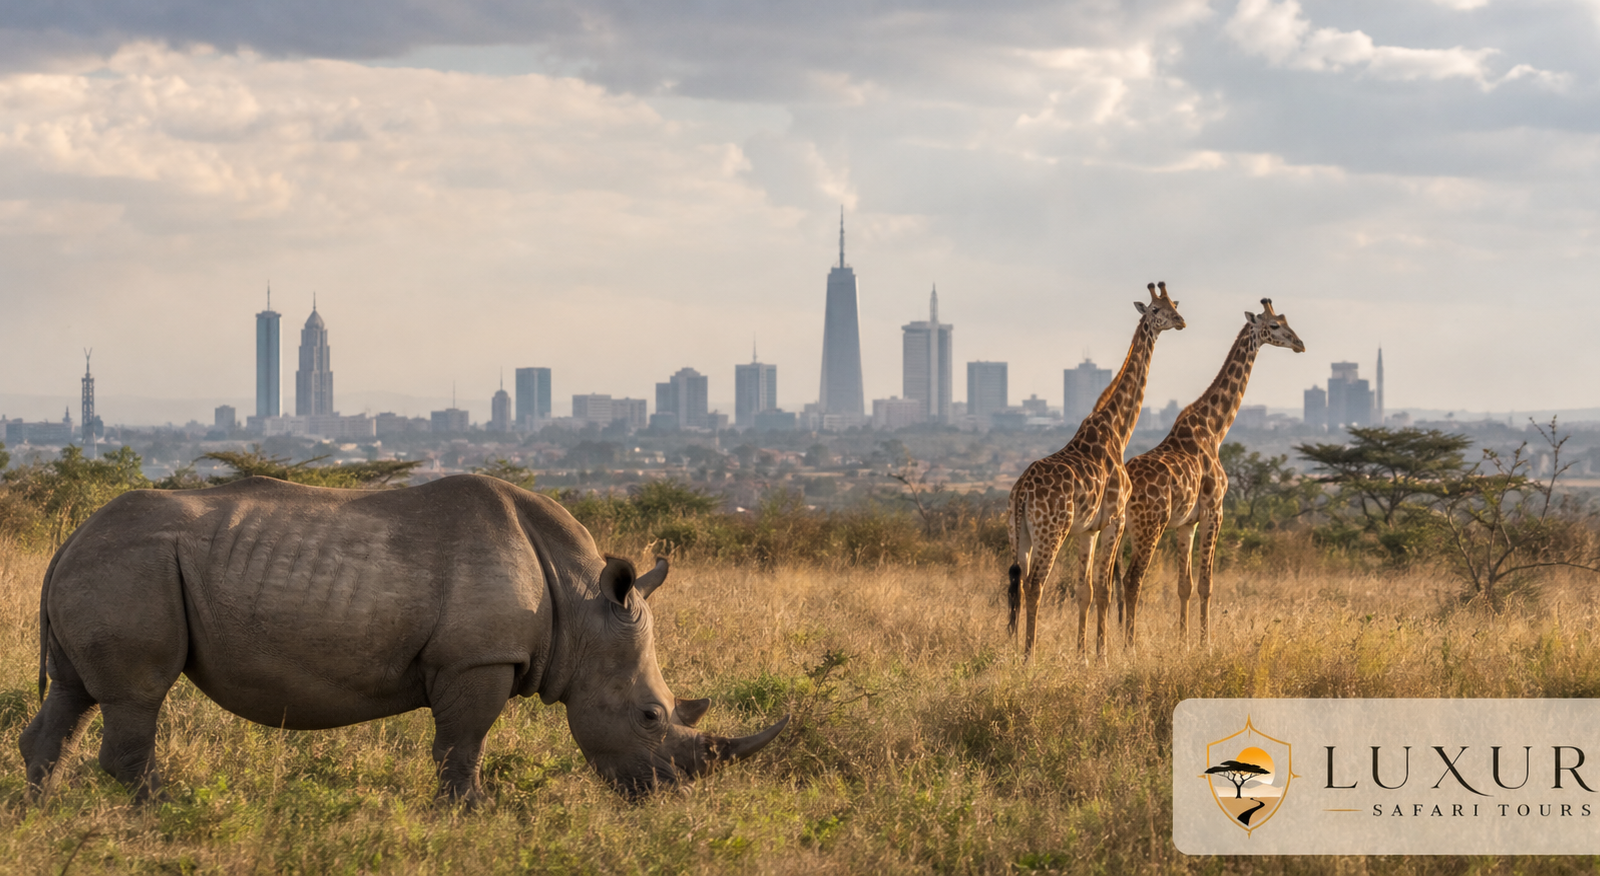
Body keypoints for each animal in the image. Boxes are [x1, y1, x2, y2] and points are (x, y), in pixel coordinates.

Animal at [19, 474, 788, 803]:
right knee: (135, 697)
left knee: (74, 695)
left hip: (109, 568)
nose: (665, 797)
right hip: (131, 569)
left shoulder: (474, 659)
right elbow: (463, 744)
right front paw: (473, 813)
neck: (581, 603)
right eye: (652, 716)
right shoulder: (476, 659)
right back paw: (166, 809)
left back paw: (41, 812)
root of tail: (70, 538)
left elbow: (458, 745)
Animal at [1007, 282, 1185, 660]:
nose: (1181, 321)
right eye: (1156, 310)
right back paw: (1029, 655)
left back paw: (1014, 647)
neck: (1118, 430)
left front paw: (1083, 654)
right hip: (1051, 531)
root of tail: (1022, 491)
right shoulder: (1115, 519)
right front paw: (1103, 654)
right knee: (1036, 583)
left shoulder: (1087, 529)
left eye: (1174, 304)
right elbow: (1104, 588)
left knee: (1017, 581)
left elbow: (1084, 590)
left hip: (1020, 533)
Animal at [1118, 298, 1305, 648]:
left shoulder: (1186, 523)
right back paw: (1129, 646)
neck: (1214, 428)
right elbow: (1207, 584)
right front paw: (1205, 644)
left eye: (1287, 320)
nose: (1300, 343)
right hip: (1149, 527)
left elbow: (1185, 585)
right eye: (1274, 325)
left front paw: (1183, 642)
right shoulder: (1214, 510)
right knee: (1132, 579)